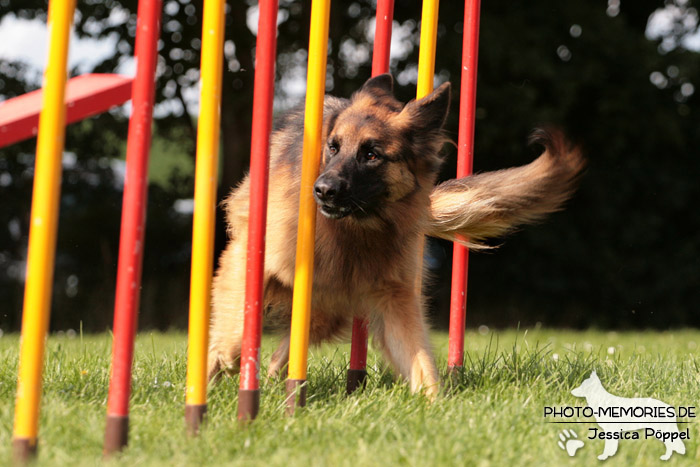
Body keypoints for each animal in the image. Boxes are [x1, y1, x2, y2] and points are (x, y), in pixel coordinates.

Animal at [208, 75, 584, 396]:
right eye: (333, 147)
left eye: (371, 154)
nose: (323, 190)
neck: (355, 230)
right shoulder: (246, 258)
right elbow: (234, 325)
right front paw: (226, 355)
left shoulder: (395, 300)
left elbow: (420, 362)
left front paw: (435, 405)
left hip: (324, 310)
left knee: (285, 348)